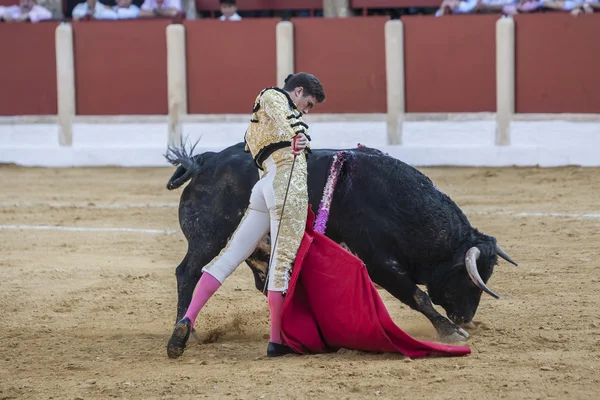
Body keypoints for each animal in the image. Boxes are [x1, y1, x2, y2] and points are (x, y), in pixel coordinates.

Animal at [164, 142, 516, 342]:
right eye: (467, 278)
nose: (466, 318)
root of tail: (206, 161)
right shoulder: (381, 264)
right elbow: (419, 297)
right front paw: (451, 332)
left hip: (252, 245)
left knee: (262, 280)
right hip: (209, 237)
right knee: (188, 273)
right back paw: (188, 331)